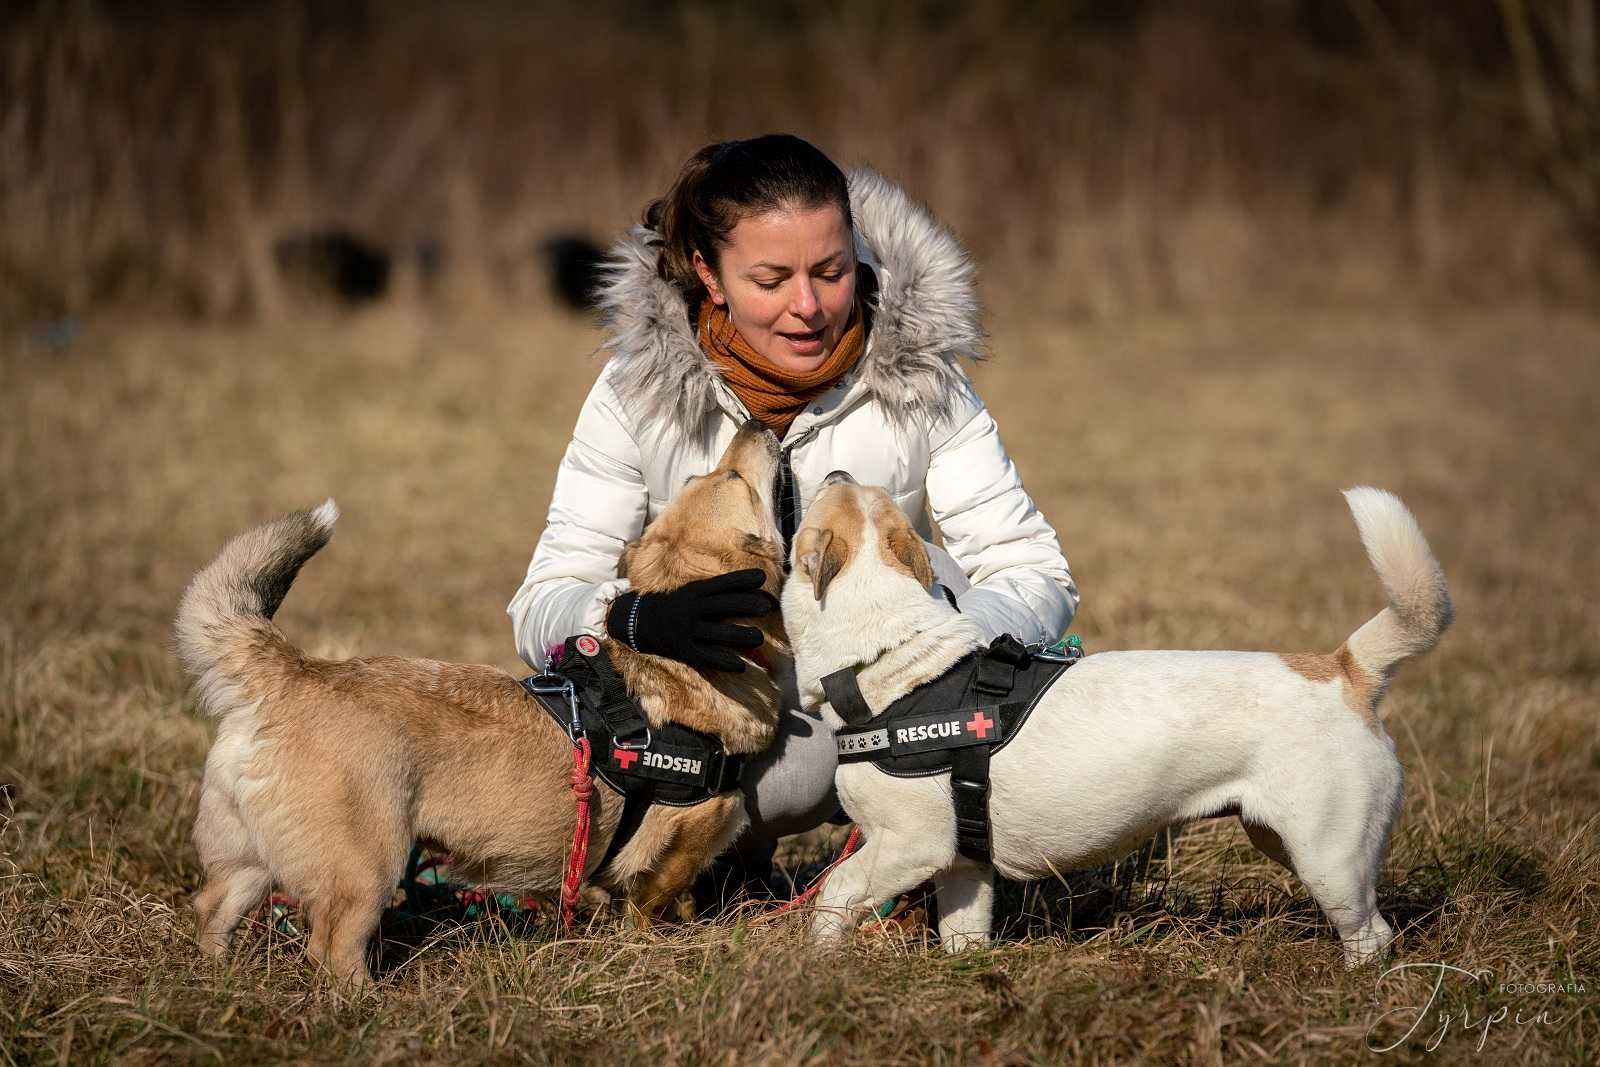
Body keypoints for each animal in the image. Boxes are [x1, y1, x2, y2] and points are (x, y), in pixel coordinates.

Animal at [176, 419, 787, 985]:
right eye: (734, 480)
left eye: (702, 477)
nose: (757, 423)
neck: (678, 663)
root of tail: (293, 672)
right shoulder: (685, 838)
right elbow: (653, 900)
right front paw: (658, 942)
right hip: (366, 871)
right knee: (331, 949)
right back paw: (365, 1000)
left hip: (248, 859)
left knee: (213, 908)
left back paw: (216, 978)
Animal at [780, 476, 1459, 966]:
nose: (836, 472)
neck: (893, 660)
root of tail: (1345, 669)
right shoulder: (963, 867)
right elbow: (963, 934)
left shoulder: (912, 845)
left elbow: (837, 892)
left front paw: (818, 958)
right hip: (1283, 838)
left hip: (1329, 857)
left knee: (1372, 934)